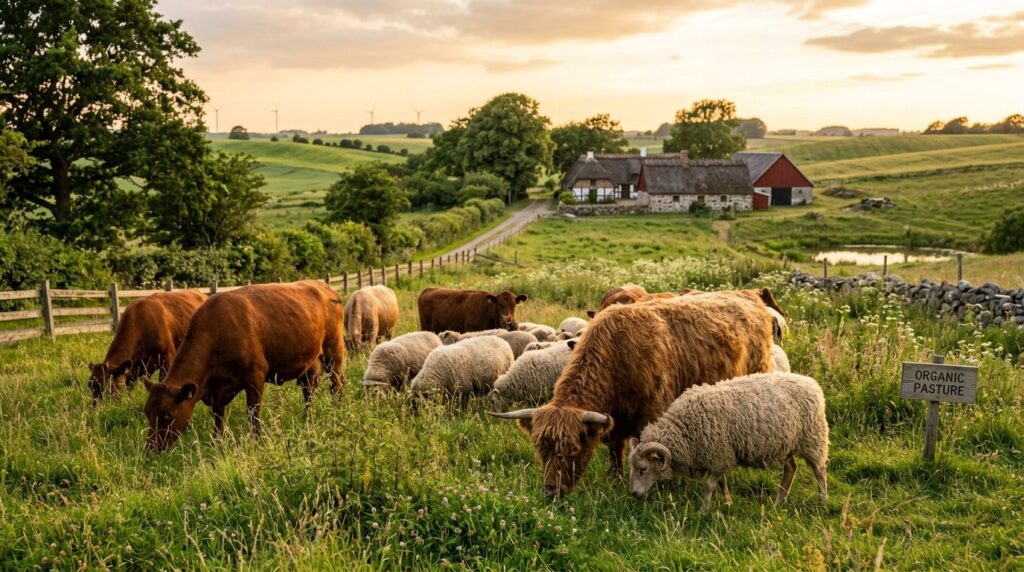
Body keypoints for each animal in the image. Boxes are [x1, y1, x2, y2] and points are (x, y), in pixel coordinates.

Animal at [143, 280, 345, 453]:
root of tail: (324, 286)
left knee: (337, 384)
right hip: (311, 364)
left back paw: (337, 412)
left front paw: (257, 441)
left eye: (167, 415)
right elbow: (218, 418)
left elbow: (252, 414)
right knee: (309, 392)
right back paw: (307, 420)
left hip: (333, 352)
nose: (151, 449)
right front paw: (218, 443)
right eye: (147, 413)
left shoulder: (255, 377)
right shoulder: (217, 390)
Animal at [491, 295, 774, 497]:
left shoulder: (650, 413)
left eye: (573, 449)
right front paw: (614, 475)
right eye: (541, 449)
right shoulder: (613, 420)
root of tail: (749, 296)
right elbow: (615, 450)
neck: (618, 359)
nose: (552, 491)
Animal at [628, 371, 828, 511]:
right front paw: (728, 502)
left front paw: (704, 510)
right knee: (791, 469)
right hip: (785, 444)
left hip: (812, 439)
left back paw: (823, 501)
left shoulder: (719, 455)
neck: (683, 429)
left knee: (819, 471)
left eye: (643, 469)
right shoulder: (720, 455)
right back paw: (778, 501)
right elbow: (721, 482)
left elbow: (709, 485)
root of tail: (811, 383)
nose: (634, 494)